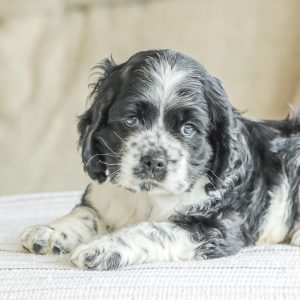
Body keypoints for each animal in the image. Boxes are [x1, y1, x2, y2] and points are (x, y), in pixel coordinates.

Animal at [22, 48, 300, 270]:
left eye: (188, 128)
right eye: (131, 119)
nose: (154, 161)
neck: (146, 197)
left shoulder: (217, 225)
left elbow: (153, 230)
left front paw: (103, 248)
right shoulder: (102, 197)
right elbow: (86, 214)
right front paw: (50, 231)